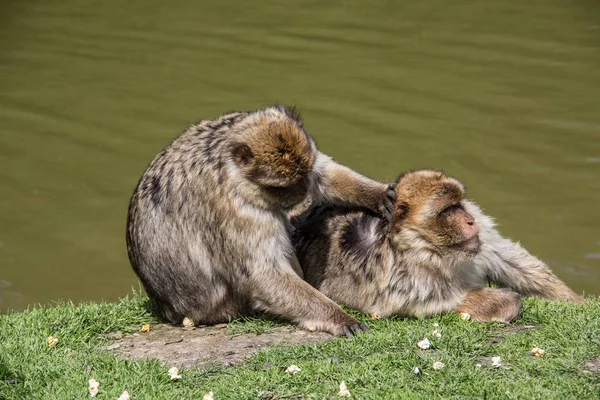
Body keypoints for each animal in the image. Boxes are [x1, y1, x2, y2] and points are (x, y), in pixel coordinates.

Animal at [127, 105, 396, 334]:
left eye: (303, 175)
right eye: (281, 186)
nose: (303, 191)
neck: (235, 171)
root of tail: (169, 310)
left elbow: (325, 174)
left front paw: (378, 194)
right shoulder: (237, 211)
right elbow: (263, 275)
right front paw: (340, 318)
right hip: (224, 307)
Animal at [292, 170, 584, 324]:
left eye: (459, 203)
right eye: (447, 210)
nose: (470, 220)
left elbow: (508, 260)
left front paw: (576, 301)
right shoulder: (397, 270)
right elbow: (424, 300)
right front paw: (504, 302)